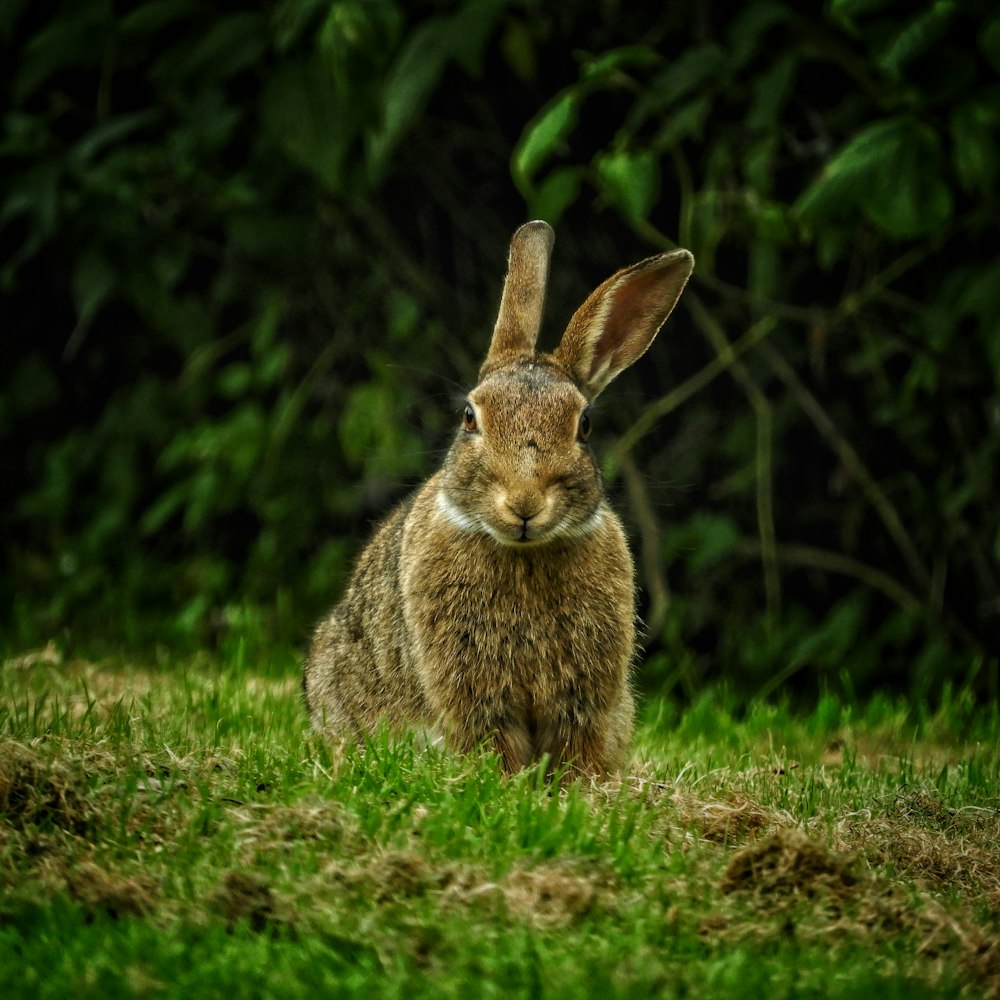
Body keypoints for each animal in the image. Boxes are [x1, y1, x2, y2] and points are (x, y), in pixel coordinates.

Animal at [304, 223, 696, 776]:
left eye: (584, 425)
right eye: (470, 417)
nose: (525, 503)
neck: (524, 553)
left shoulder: (584, 697)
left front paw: (580, 785)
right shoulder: (471, 690)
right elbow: (492, 738)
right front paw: (508, 782)